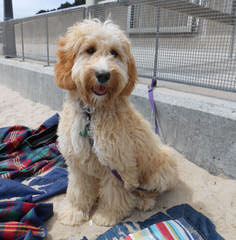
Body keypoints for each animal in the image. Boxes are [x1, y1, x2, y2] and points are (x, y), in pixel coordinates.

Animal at [54, 19, 178, 227]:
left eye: (114, 52)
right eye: (89, 50)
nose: (103, 75)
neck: (92, 114)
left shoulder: (117, 162)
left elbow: (114, 194)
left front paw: (107, 215)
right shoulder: (77, 162)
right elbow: (77, 190)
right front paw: (74, 211)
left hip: (163, 167)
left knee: (150, 190)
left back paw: (144, 201)